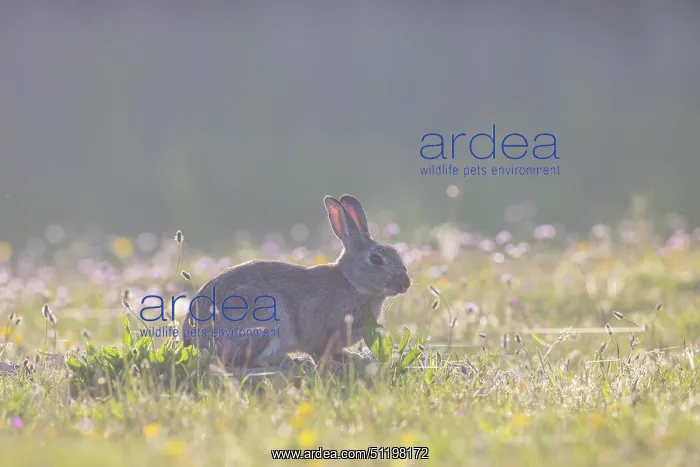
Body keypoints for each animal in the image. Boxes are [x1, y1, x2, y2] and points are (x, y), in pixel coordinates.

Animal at [180, 194, 411, 369]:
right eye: (376, 259)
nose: (405, 284)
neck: (351, 282)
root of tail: (193, 340)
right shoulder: (319, 331)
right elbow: (319, 352)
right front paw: (343, 361)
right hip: (263, 317)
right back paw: (287, 360)